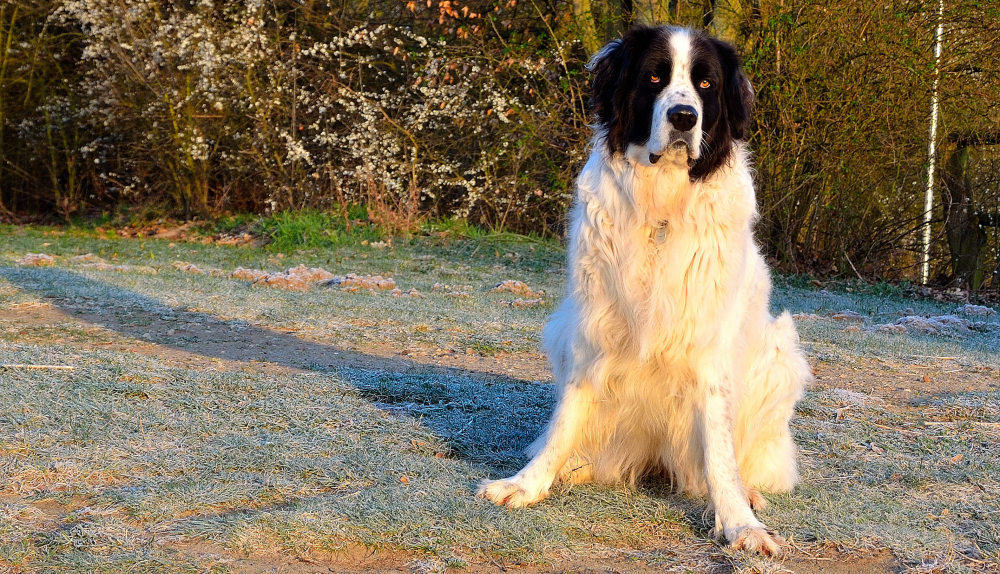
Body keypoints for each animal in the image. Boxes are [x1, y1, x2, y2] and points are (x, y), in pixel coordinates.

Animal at [476, 24, 812, 556]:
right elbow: (566, 417)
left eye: (706, 84)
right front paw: (528, 483)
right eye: (654, 77)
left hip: (780, 350)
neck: (662, 204)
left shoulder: (709, 345)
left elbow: (719, 449)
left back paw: (748, 493)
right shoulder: (593, 325)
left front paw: (740, 523)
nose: (684, 117)